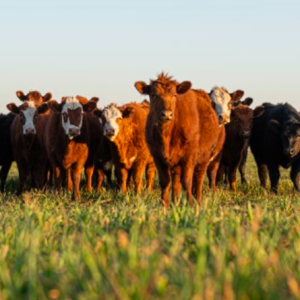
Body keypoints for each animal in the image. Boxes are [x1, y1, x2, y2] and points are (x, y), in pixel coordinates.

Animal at [135, 72, 219, 206]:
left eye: (174, 95)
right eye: (154, 95)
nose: (167, 114)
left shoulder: (189, 155)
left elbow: (187, 181)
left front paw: (191, 203)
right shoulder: (157, 156)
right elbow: (165, 181)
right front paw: (164, 204)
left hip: (204, 157)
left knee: (199, 178)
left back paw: (198, 200)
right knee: (176, 180)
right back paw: (175, 201)